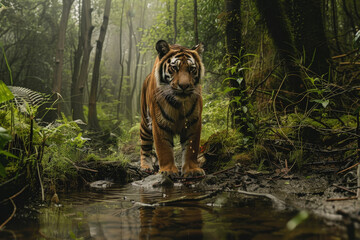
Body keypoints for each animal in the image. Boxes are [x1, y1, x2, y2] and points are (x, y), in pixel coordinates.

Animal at [139, 40, 205, 177]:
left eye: (192, 69)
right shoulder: (159, 123)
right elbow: (163, 149)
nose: (184, 86)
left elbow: (191, 148)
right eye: (174, 68)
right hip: (145, 124)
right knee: (144, 147)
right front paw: (168, 171)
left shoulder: (194, 122)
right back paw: (146, 167)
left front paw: (192, 170)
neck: (179, 103)